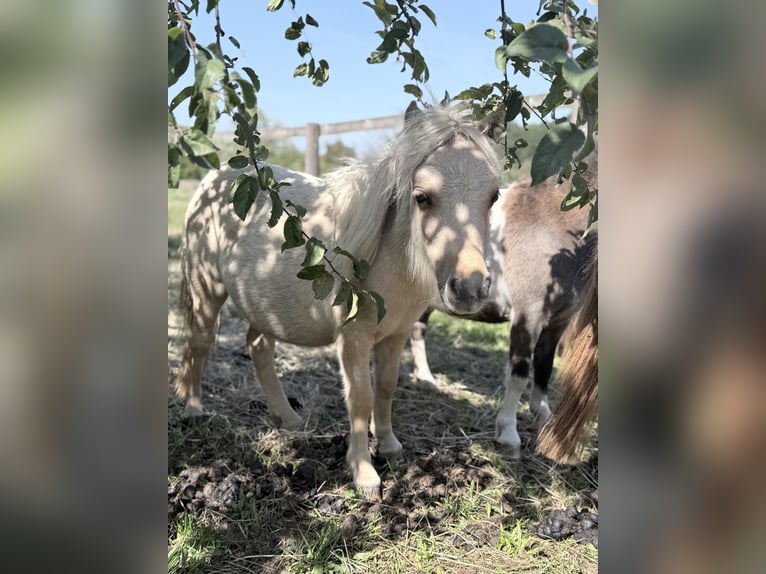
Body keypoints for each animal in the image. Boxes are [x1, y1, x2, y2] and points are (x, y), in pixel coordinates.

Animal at [174, 102, 503, 493]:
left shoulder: (395, 336)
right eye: (422, 197)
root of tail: (212, 180)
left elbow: (386, 389)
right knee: (200, 344)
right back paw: (194, 409)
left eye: (494, 196)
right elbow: (360, 399)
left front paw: (390, 446)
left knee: (258, 347)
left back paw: (288, 417)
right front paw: (363, 472)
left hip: (263, 304)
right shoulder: (354, 338)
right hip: (206, 290)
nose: (469, 289)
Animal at [409, 158, 597, 457]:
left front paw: (544, 417)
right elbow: (519, 373)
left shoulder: (558, 322)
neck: (552, 223)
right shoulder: (528, 315)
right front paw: (508, 433)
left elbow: (544, 367)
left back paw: (425, 379)